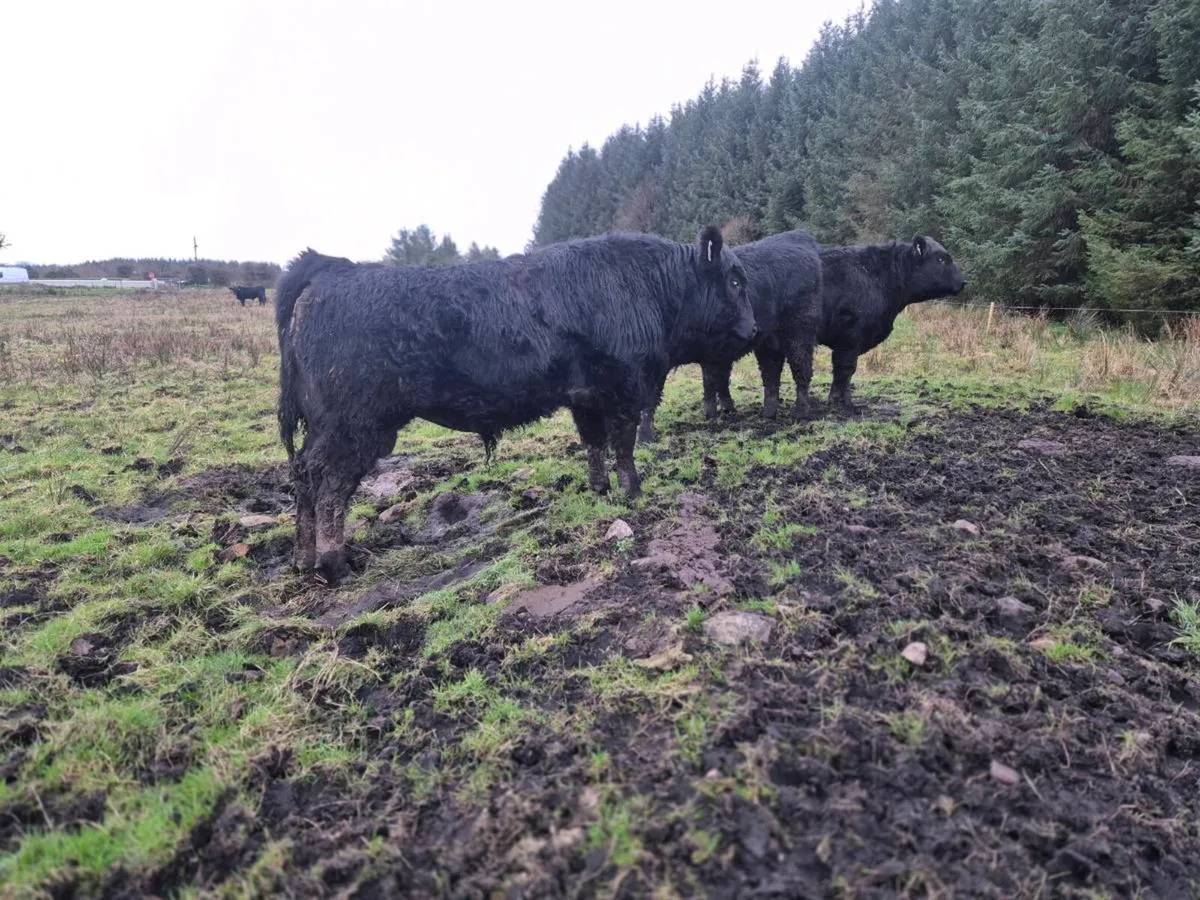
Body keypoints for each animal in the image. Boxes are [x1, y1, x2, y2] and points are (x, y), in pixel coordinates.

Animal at [276, 227, 755, 583]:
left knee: (302, 474)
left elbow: (594, 443)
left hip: (326, 426)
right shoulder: (623, 386)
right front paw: (633, 492)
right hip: (354, 427)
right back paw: (333, 564)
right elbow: (623, 445)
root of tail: (331, 269)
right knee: (329, 485)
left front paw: (599, 488)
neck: (648, 286)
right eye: (734, 281)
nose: (753, 329)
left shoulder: (586, 396)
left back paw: (302, 558)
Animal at [637, 228, 822, 443]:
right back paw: (767, 414)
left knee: (802, 369)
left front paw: (644, 436)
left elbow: (650, 400)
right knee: (771, 373)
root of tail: (797, 235)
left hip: (799, 331)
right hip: (770, 341)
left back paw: (801, 413)